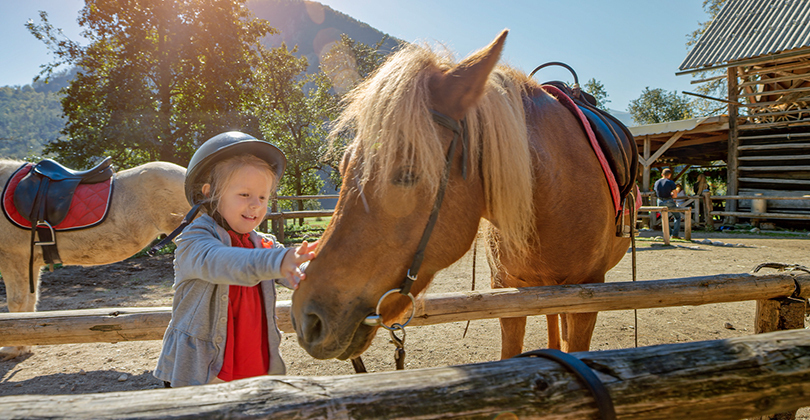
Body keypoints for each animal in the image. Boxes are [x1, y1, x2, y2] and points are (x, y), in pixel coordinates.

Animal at [0, 159, 189, 360]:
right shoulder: (30, 263)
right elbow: (30, 301)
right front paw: (23, 346)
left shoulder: (13, 258)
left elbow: (16, 302)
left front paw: (12, 348)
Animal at [290, 31, 632, 362]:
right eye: (344, 164)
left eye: (408, 172)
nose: (307, 319)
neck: (555, 194)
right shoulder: (509, 292)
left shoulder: (588, 296)